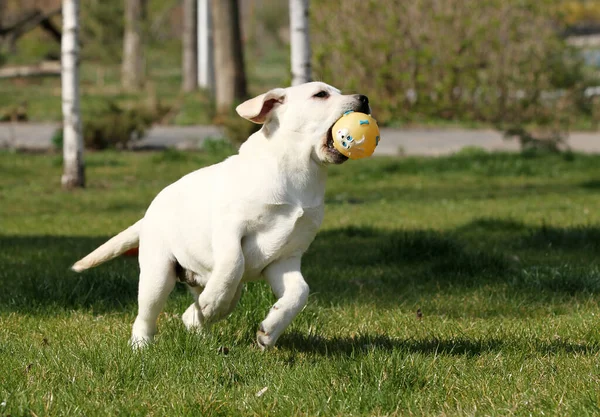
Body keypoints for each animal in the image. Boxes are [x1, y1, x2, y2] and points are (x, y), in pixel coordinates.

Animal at [71, 81, 370, 348]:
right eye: (321, 94)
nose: (364, 98)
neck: (299, 172)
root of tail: (147, 216)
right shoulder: (230, 229)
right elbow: (233, 263)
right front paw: (213, 304)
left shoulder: (285, 257)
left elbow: (300, 292)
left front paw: (269, 331)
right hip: (158, 274)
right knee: (146, 315)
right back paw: (142, 345)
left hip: (205, 281)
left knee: (195, 311)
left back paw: (201, 328)